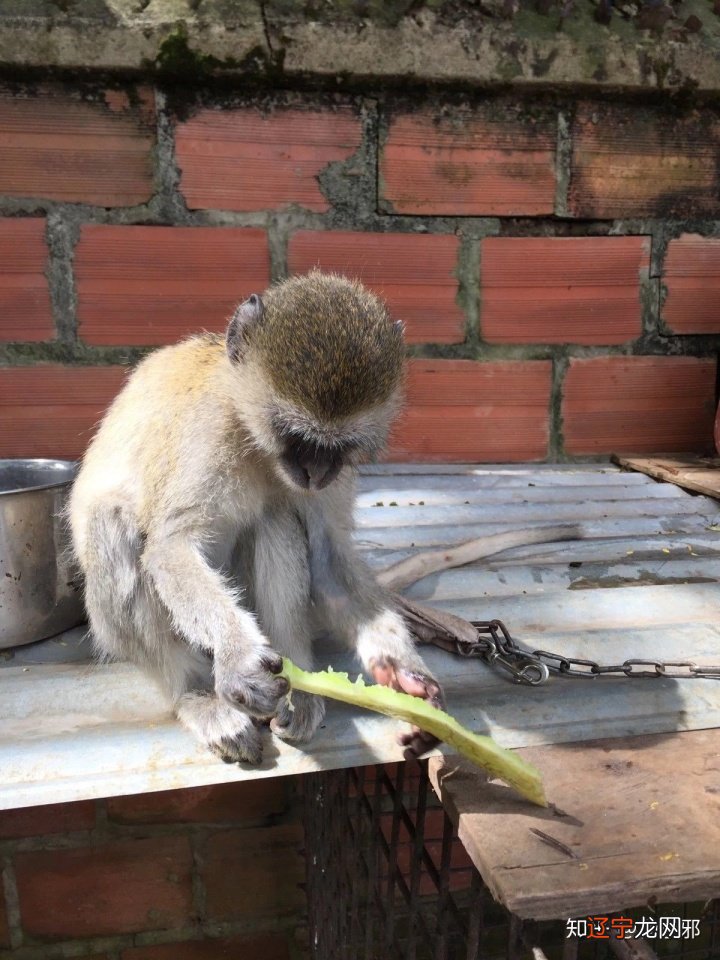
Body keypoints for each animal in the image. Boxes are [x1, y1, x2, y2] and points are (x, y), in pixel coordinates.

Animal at [70, 272, 442, 764]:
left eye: (338, 446)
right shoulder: (206, 431)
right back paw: (196, 695)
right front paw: (237, 656)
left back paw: (299, 687)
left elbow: (329, 560)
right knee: (111, 522)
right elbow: (170, 548)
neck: (255, 441)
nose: (316, 473)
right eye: (297, 437)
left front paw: (406, 673)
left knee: (277, 519)